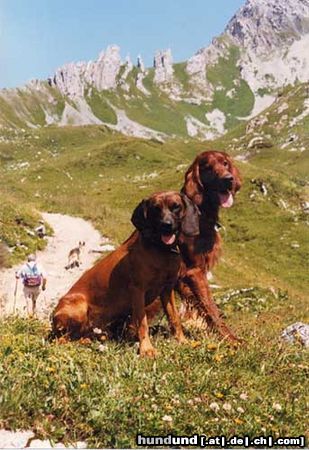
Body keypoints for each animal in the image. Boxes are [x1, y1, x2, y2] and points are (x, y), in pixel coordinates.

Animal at [52, 192, 197, 356]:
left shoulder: (167, 290)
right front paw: (147, 349)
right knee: (61, 340)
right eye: (156, 209)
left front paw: (182, 340)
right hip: (79, 305)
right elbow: (142, 323)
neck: (160, 250)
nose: (166, 225)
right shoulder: (138, 291)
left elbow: (174, 318)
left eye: (176, 206)